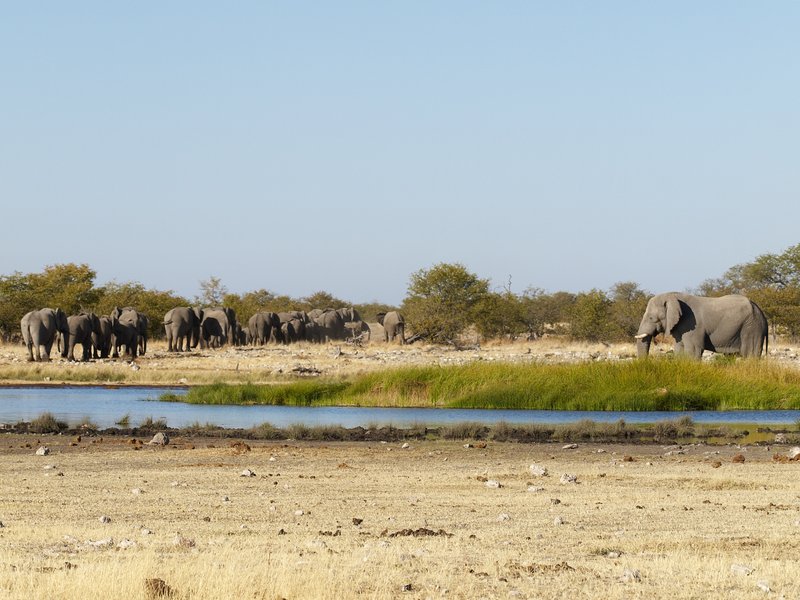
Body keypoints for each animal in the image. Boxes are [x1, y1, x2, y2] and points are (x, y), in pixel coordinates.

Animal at [634, 292, 768, 359]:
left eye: (651, 318)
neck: (671, 297)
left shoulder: (692, 324)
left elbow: (693, 351)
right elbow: (679, 349)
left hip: (752, 327)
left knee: (750, 354)